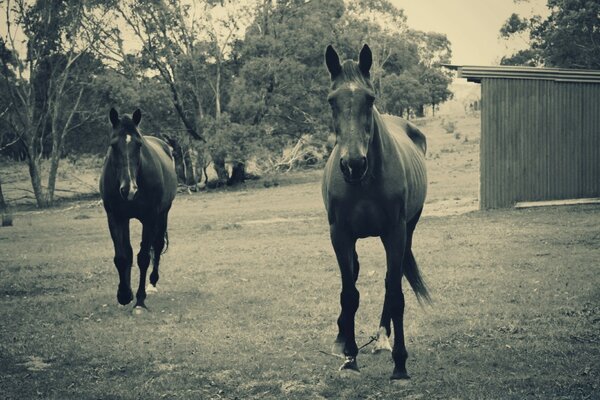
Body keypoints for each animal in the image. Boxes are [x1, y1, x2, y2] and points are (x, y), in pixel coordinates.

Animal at [98, 108, 177, 310]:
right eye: (113, 145)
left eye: (139, 145)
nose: (129, 189)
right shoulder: (115, 217)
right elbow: (122, 256)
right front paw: (124, 295)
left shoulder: (149, 218)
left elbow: (143, 258)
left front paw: (140, 301)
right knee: (129, 251)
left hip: (163, 214)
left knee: (157, 245)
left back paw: (152, 284)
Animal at [324, 45, 432, 380]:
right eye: (332, 100)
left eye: (370, 98)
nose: (352, 164)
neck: (365, 181)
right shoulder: (340, 235)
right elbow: (349, 294)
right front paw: (349, 357)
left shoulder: (394, 233)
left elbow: (395, 294)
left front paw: (400, 364)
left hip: (407, 231)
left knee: (390, 281)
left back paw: (384, 337)